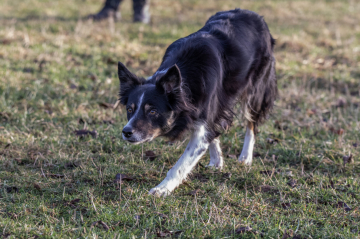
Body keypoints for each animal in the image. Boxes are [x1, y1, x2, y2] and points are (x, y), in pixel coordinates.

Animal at [116, 8, 278, 196]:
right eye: (129, 109)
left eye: (152, 111)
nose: (126, 132)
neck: (183, 81)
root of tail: (255, 15)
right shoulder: (210, 111)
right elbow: (212, 131)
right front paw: (216, 160)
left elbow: (181, 164)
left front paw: (162, 188)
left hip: (255, 90)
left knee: (251, 124)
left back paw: (245, 157)